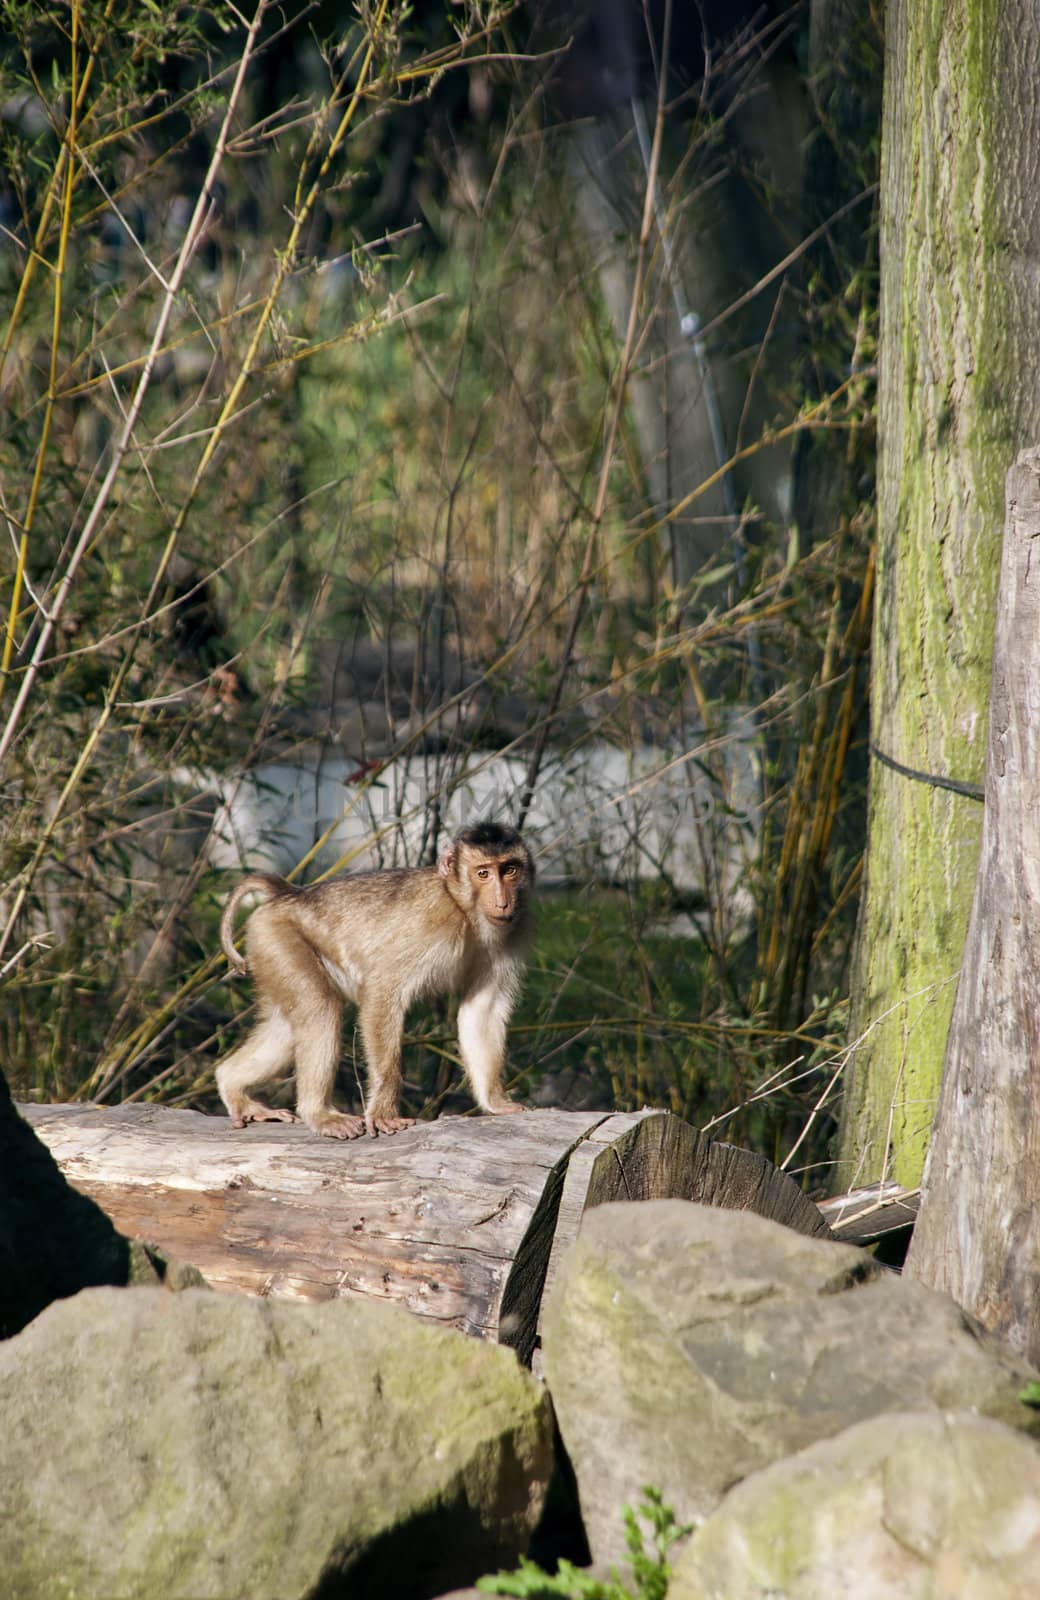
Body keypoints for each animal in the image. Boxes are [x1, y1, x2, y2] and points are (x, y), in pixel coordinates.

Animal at [214, 825, 531, 1139]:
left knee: (287, 1027)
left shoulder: (512, 936)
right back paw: (317, 1113)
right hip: (275, 936)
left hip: (266, 946)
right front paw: (384, 1113)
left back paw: (230, 1082)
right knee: (321, 1008)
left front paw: (495, 1102)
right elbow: (383, 993)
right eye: (483, 873)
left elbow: (483, 1010)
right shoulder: (431, 921)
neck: (463, 907)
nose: (503, 901)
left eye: (510, 870)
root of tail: (289, 894)